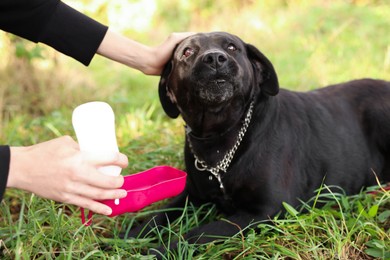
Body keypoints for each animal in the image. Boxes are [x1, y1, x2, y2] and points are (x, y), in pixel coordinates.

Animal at [129, 33, 388, 248]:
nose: (214, 58)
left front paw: (160, 249)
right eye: (187, 52)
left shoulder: (265, 211)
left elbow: (198, 233)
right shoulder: (191, 195)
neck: (219, 137)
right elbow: (158, 215)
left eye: (232, 47)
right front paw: (131, 235)